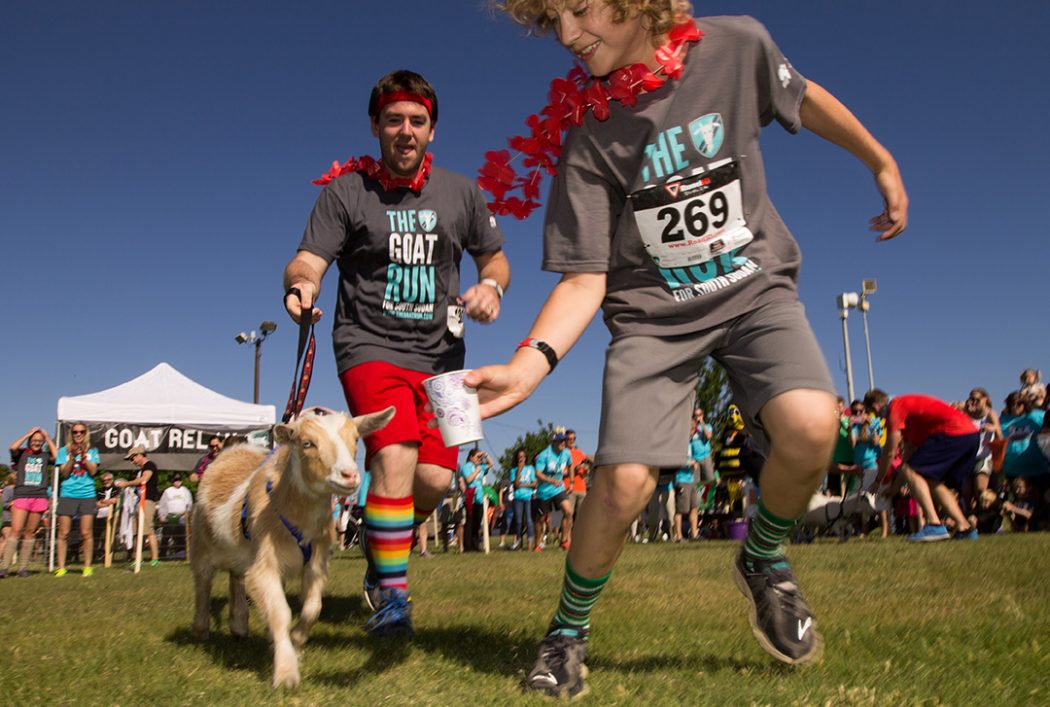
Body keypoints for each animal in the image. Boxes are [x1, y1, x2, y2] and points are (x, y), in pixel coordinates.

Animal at [190, 405, 394, 684]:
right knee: (203, 583)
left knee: (237, 578)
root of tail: (231, 452)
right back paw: (201, 630)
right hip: (201, 544)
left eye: (355, 439)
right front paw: (286, 673)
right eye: (307, 443)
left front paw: (295, 642)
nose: (350, 475)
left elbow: (312, 608)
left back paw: (240, 626)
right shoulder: (265, 564)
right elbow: (280, 612)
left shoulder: (316, 564)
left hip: (241, 554)